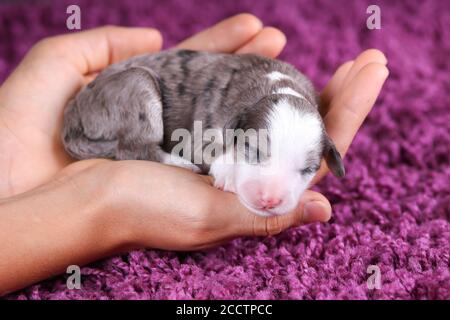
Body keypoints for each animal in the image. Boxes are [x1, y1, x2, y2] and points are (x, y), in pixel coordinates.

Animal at [62, 49, 344, 215]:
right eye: (253, 150)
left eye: (308, 169)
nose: (270, 200)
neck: (277, 85)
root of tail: (74, 109)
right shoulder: (197, 135)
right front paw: (228, 173)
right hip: (137, 85)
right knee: (133, 148)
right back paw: (180, 164)